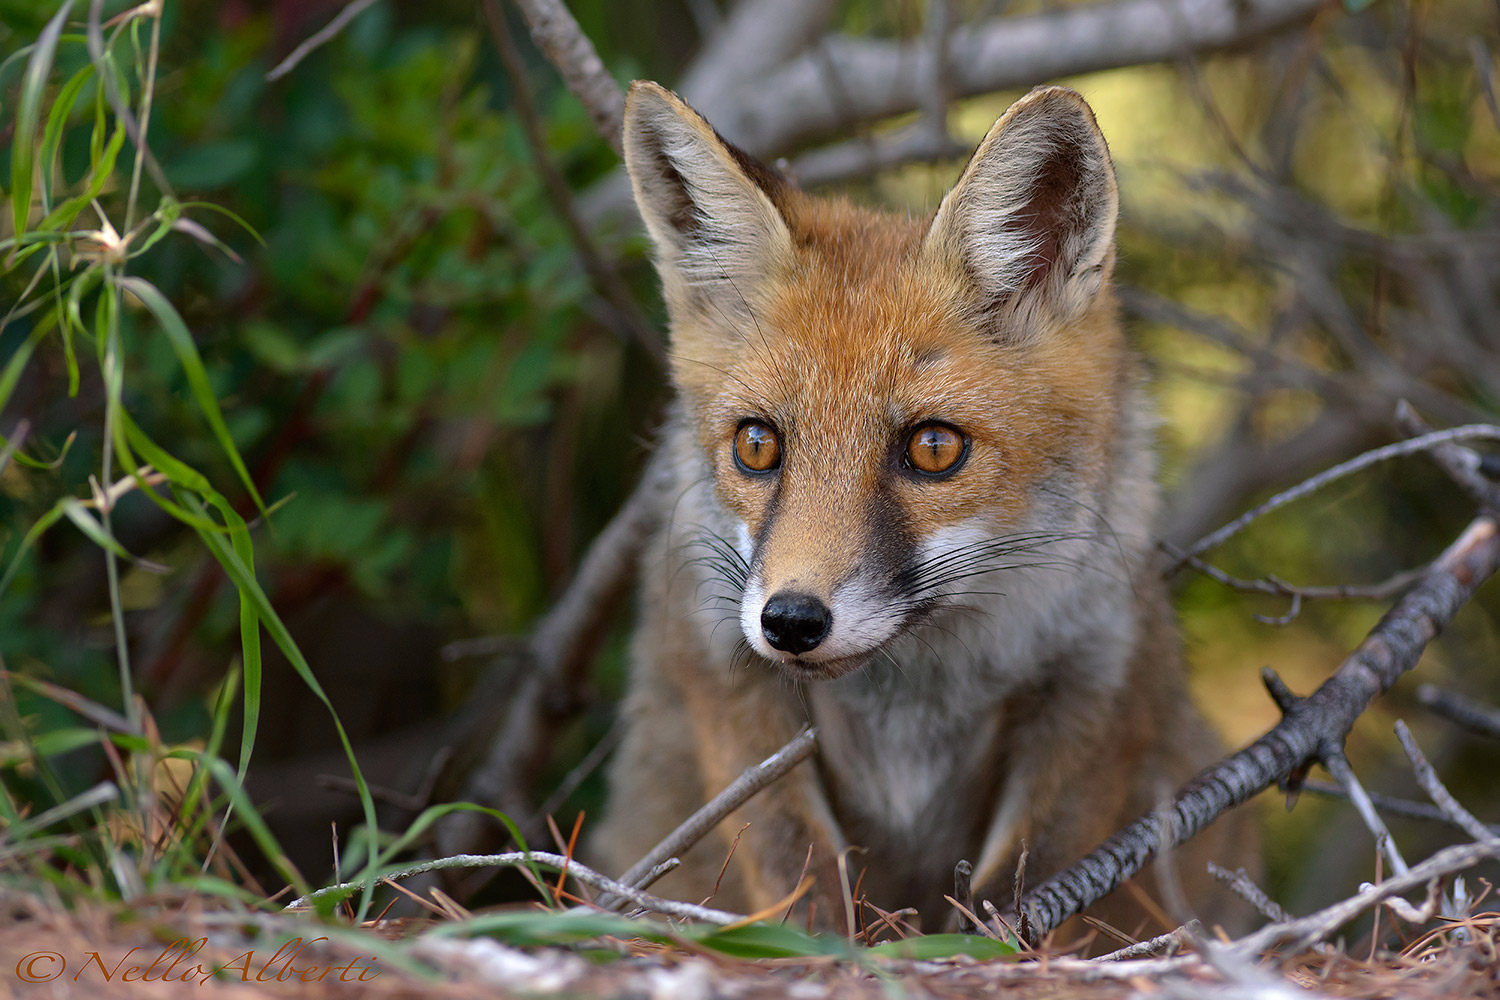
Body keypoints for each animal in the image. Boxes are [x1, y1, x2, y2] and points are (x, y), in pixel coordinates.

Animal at [589, 80, 1258, 937]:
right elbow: (798, 871)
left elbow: (1027, 879)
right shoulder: (719, 672)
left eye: (934, 448)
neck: (914, 693)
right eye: (757, 446)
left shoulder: (1097, 687)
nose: (792, 621)